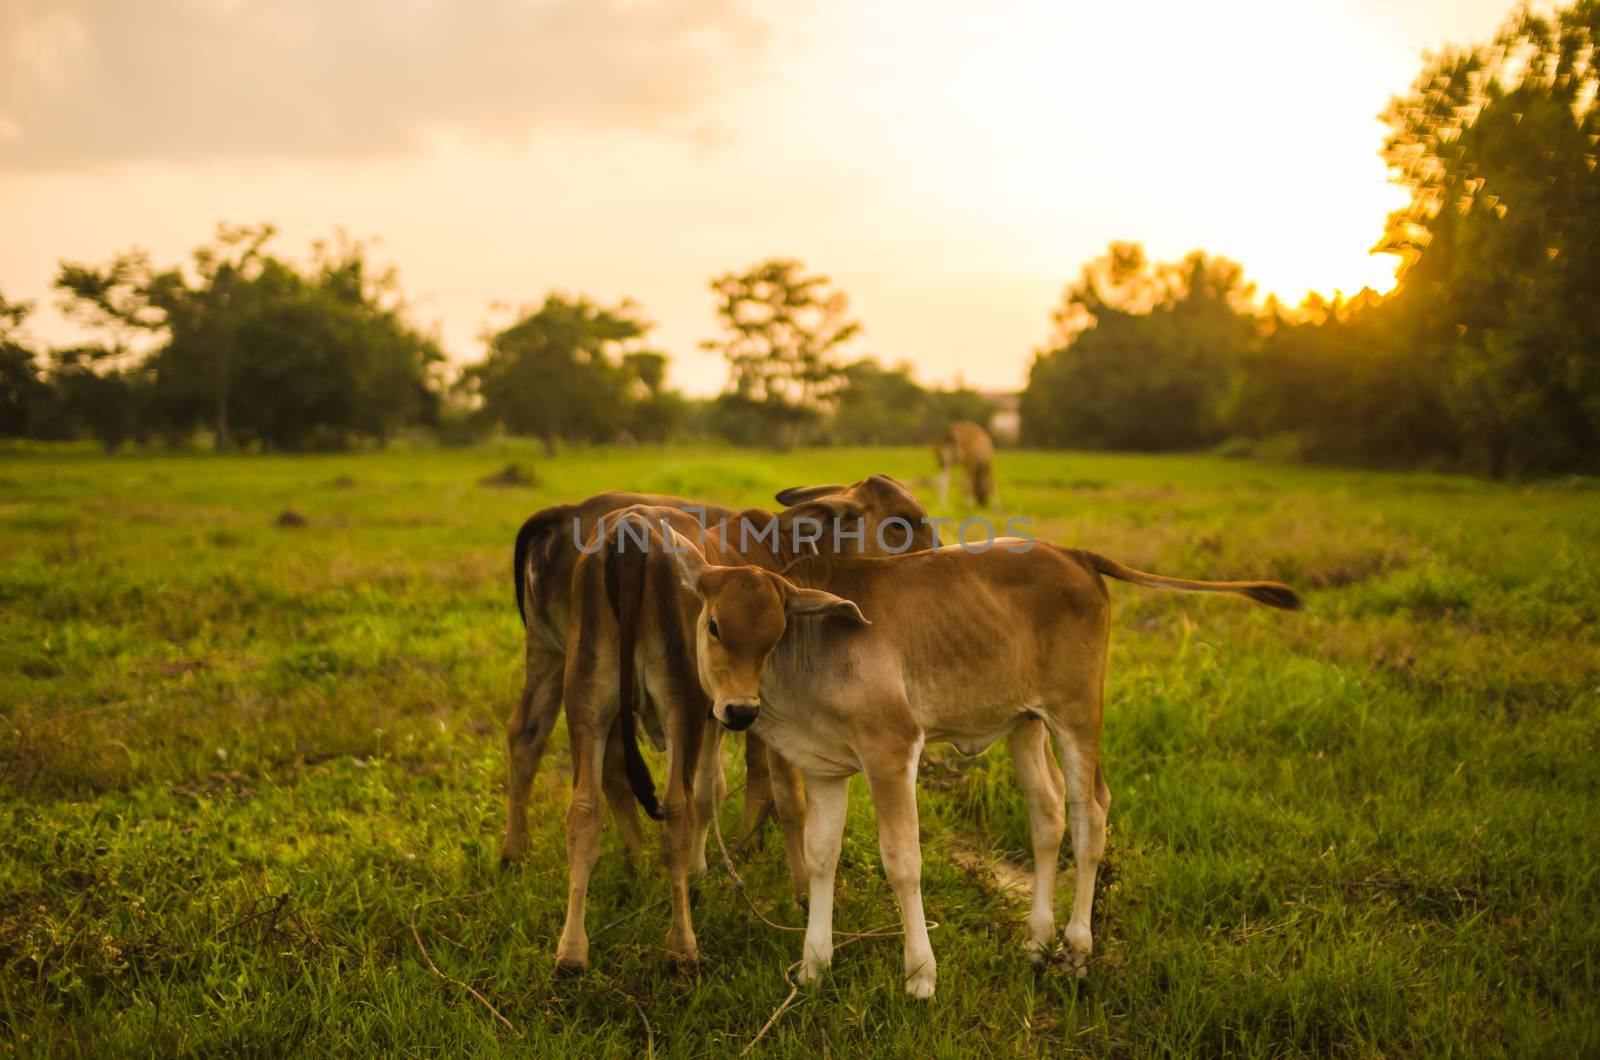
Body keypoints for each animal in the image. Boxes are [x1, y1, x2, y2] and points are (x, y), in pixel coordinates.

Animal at [662, 534, 1299, 999]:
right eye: (714, 625)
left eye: (775, 632)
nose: (739, 710)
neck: (808, 657)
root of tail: (1074, 553)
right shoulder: (823, 768)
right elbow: (822, 859)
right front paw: (815, 965)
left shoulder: (892, 750)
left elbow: (903, 863)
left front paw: (921, 975)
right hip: (1025, 722)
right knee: (1047, 813)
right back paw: (1036, 941)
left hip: (1076, 713)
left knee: (1090, 812)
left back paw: (1077, 948)